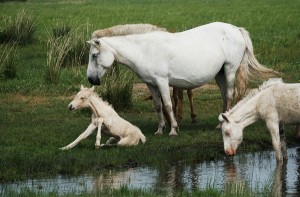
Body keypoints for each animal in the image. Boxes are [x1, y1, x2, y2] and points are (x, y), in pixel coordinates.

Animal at [86, 21, 276, 135]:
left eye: (94, 55)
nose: (91, 79)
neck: (145, 49)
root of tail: (236, 29)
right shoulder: (151, 84)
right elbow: (158, 106)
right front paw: (160, 130)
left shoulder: (162, 81)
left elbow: (168, 105)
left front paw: (173, 129)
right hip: (220, 74)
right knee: (224, 96)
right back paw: (220, 122)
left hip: (229, 70)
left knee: (229, 95)